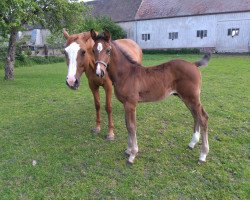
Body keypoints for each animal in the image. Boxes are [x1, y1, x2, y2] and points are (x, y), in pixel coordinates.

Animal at [90, 30, 211, 164]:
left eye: (108, 50)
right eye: (93, 50)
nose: (99, 72)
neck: (126, 74)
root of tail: (193, 64)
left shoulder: (131, 104)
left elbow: (132, 126)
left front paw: (132, 155)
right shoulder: (125, 104)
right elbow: (127, 125)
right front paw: (128, 150)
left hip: (192, 98)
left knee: (203, 118)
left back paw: (203, 155)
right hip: (186, 99)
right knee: (196, 116)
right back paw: (192, 143)